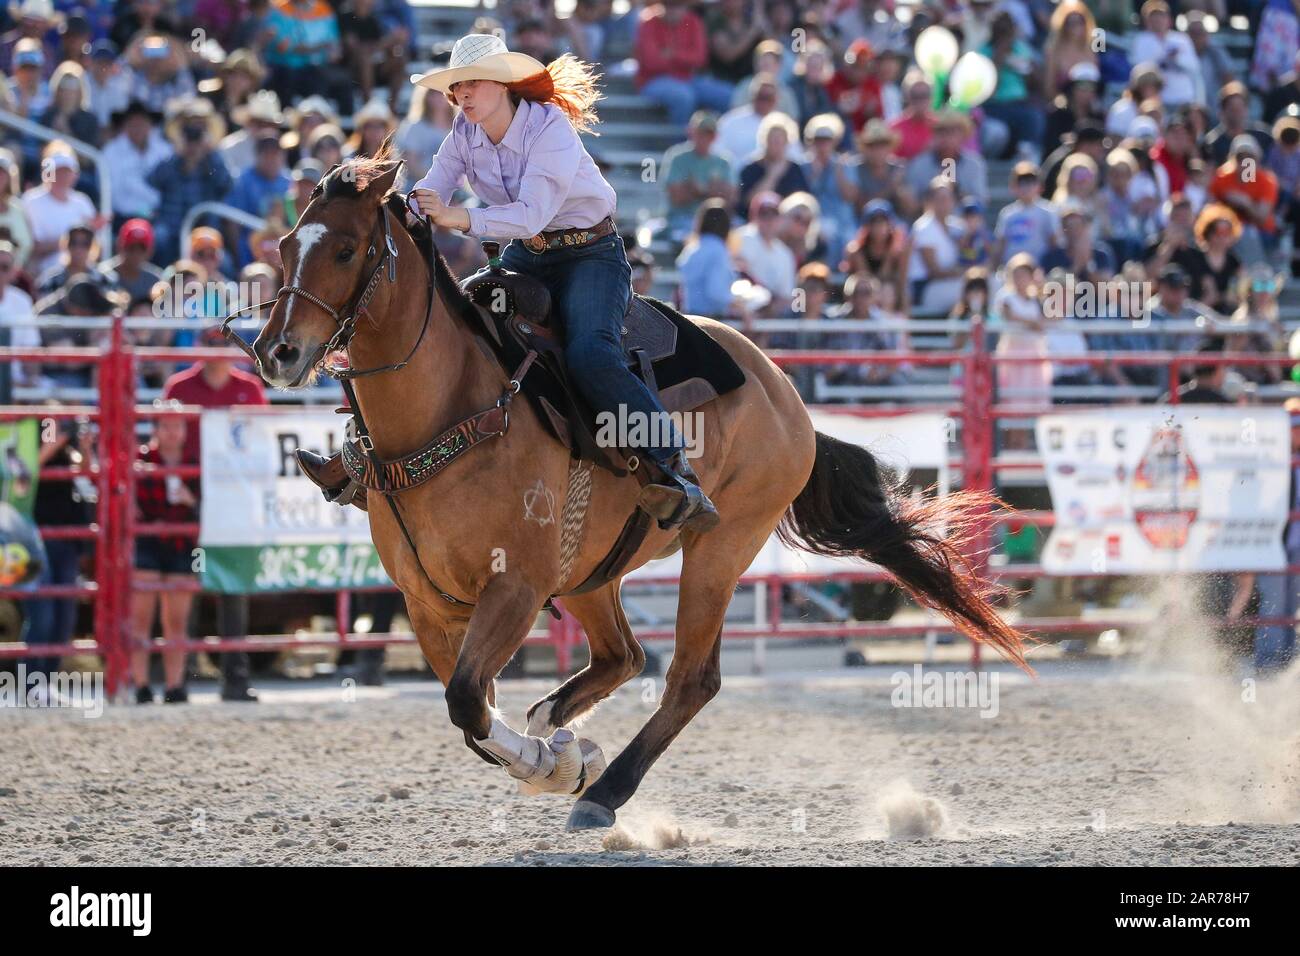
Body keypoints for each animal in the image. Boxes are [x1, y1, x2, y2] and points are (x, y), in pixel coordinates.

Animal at [228, 145, 1029, 832]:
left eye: (344, 249)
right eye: (285, 245)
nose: (277, 351)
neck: (452, 410)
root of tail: (784, 391)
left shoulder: (515, 588)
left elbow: (468, 704)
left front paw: (563, 770)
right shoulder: (426, 604)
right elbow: (473, 710)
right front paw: (557, 757)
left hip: (719, 549)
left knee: (687, 678)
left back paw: (602, 791)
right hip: (593, 570)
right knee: (624, 658)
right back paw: (563, 735)